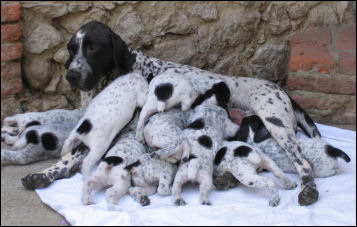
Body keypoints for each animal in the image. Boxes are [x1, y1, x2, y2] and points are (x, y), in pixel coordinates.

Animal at [59, 72, 147, 204]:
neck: (128, 79)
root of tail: (85, 127)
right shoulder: (141, 96)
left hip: (74, 135)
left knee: (67, 144)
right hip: (99, 148)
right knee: (86, 164)